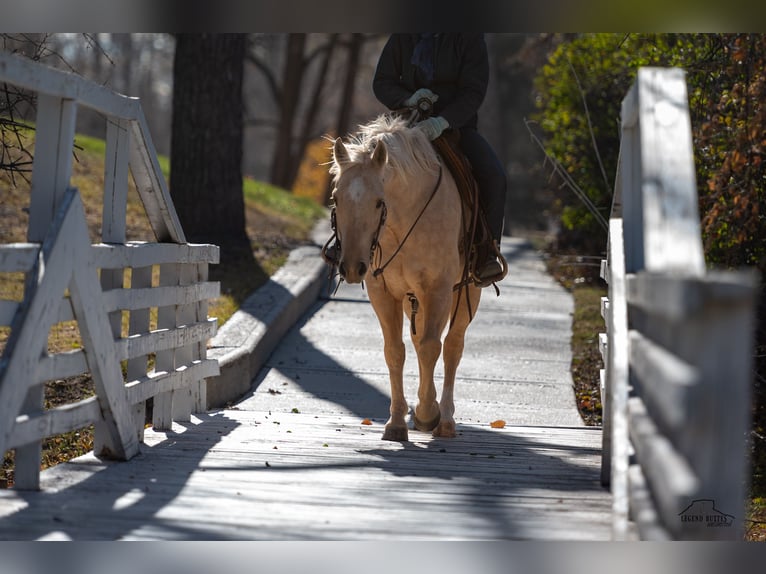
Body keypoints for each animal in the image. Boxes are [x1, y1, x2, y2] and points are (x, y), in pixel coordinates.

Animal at [328, 115, 484, 444]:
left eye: (378, 202)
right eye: (336, 197)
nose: (352, 267)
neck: (402, 222)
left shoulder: (438, 290)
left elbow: (431, 347)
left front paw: (426, 414)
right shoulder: (384, 293)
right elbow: (395, 351)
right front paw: (397, 422)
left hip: (467, 294)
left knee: (451, 346)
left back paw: (445, 418)